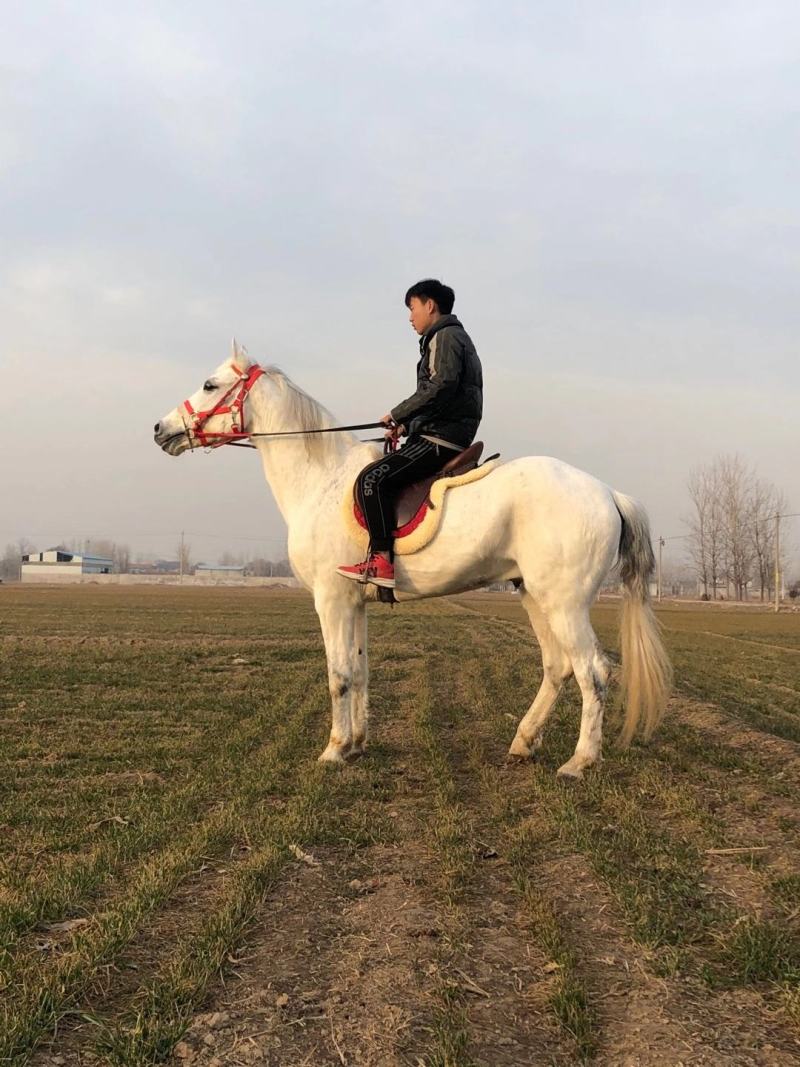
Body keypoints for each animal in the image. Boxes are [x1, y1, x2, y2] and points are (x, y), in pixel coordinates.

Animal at [153, 341, 672, 779]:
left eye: (209, 385)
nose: (161, 429)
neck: (321, 477)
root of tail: (608, 493)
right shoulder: (354, 603)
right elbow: (360, 669)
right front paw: (357, 744)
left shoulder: (331, 600)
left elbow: (339, 675)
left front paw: (333, 749)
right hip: (535, 597)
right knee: (558, 666)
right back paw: (524, 742)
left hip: (565, 603)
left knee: (593, 672)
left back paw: (579, 762)